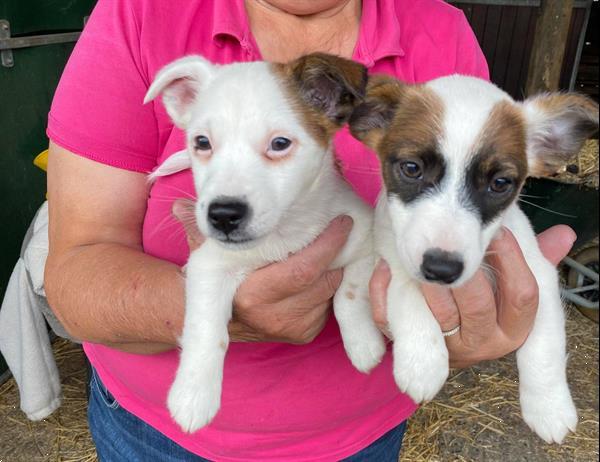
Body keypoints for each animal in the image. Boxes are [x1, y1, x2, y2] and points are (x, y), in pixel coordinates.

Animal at [144, 53, 384, 434]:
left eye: (280, 144)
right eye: (202, 142)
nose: (223, 215)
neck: (283, 232)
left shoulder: (363, 236)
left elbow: (349, 296)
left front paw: (363, 344)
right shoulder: (209, 265)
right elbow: (205, 328)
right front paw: (193, 393)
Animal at [350, 75, 596, 444]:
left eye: (500, 183)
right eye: (411, 168)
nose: (441, 269)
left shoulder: (538, 276)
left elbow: (545, 348)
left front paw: (549, 406)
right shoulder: (393, 260)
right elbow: (408, 293)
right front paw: (422, 362)